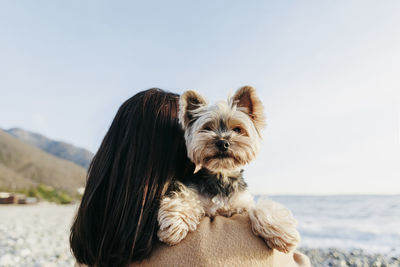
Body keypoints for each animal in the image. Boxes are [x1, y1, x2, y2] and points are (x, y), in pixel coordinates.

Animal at [158, 87, 298, 254]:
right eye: (207, 128)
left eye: (237, 129)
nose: (223, 143)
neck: (222, 175)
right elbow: (187, 200)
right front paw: (176, 223)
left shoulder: (243, 203)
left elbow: (258, 208)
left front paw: (281, 230)